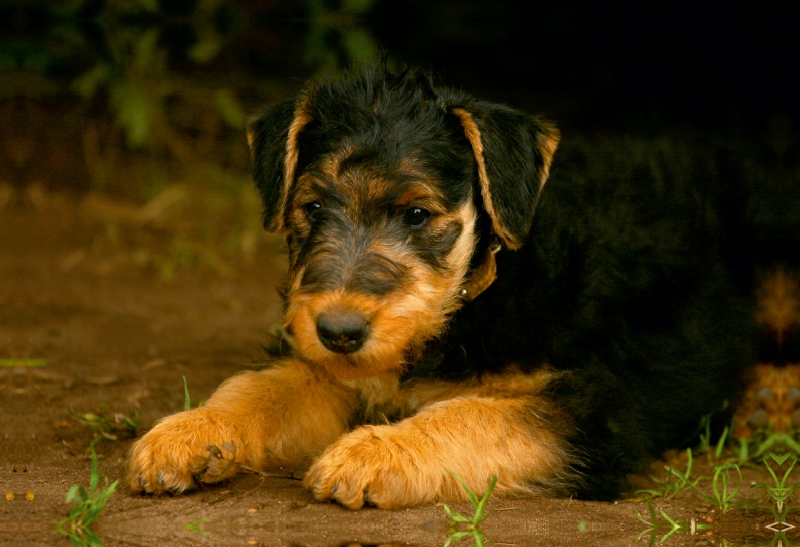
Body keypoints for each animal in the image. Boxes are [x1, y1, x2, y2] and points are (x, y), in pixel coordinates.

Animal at [126, 66, 756, 508]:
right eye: (313, 207)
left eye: (417, 214)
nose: (339, 332)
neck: (476, 294)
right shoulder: (328, 371)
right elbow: (258, 388)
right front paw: (188, 433)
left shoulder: (593, 409)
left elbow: (472, 415)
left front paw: (371, 453)